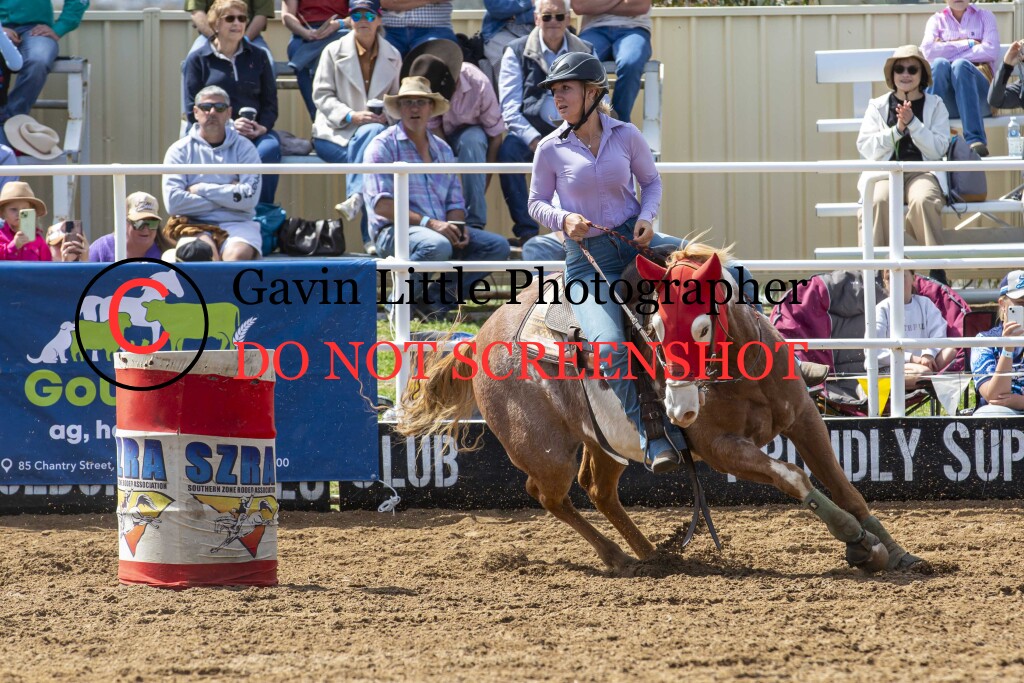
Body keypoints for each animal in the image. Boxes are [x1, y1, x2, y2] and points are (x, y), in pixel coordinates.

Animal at [397, 242, 923, 573]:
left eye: (702, 327)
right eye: (654, 325)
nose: (680, 410)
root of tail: (480, 339)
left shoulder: (804, 419)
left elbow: (844, 486)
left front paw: (895, 552)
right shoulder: (719, 448)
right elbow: (794, 477)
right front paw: (856, 542)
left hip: (605, 443)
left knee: (598, 490)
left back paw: (651, 553)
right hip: (545, 452)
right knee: (550, 495)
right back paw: (617, 558)